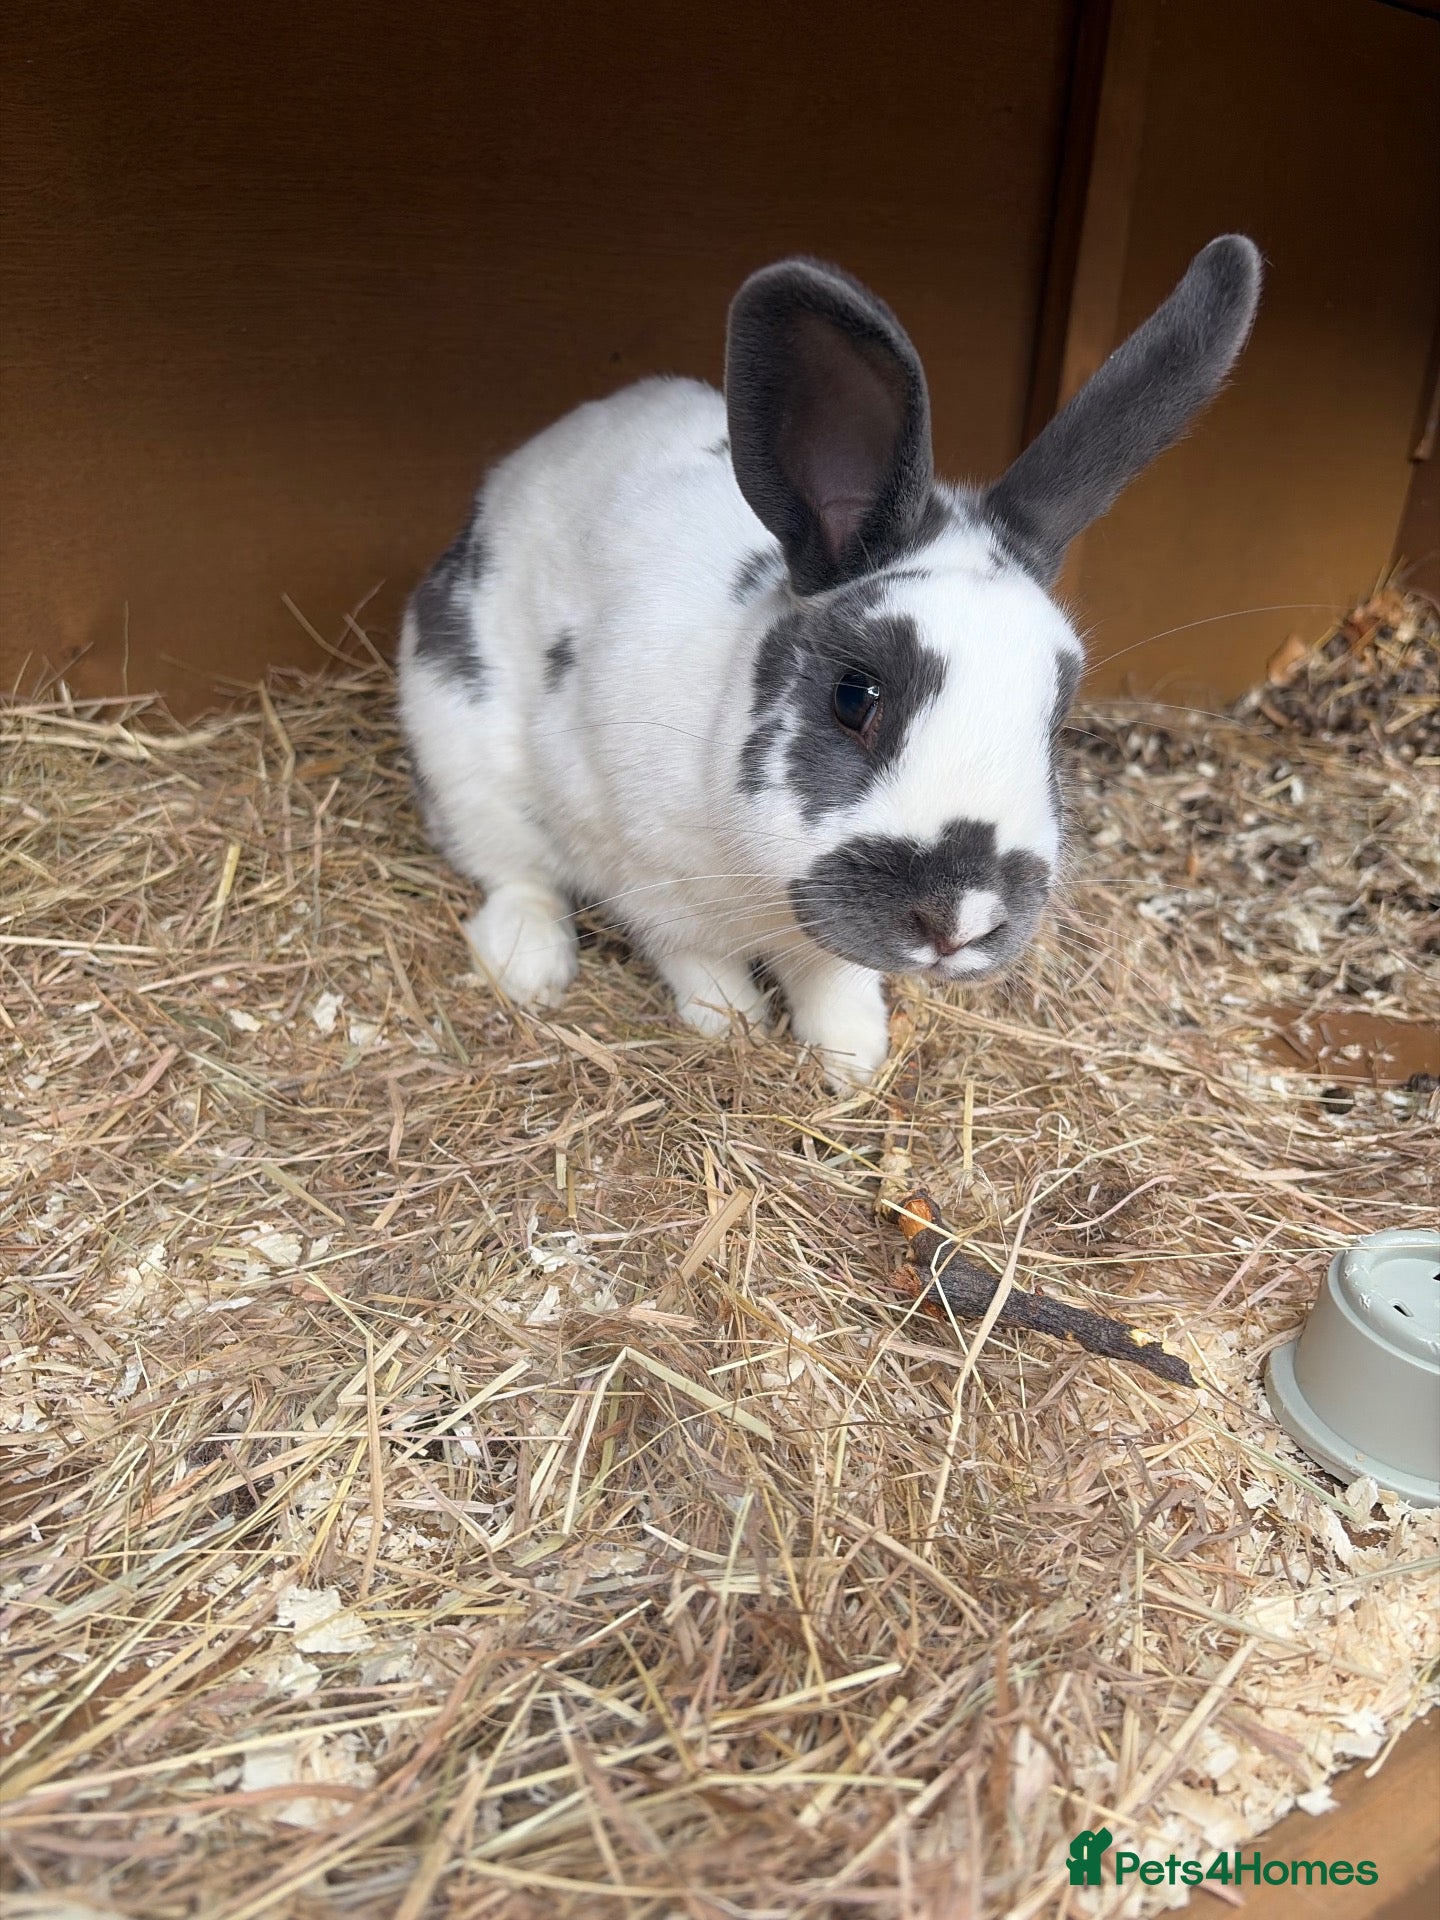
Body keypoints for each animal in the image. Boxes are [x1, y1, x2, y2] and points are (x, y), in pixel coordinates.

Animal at [398, 236, 1261, 1086]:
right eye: (855, 696)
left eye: (1054, 727)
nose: (963, 918)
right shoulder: (643, 870)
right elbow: (696, 957)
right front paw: (733, 1027)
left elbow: (832, 976)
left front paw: (853, 1059)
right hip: (458, 743)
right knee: (513, 871)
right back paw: (528, 965)